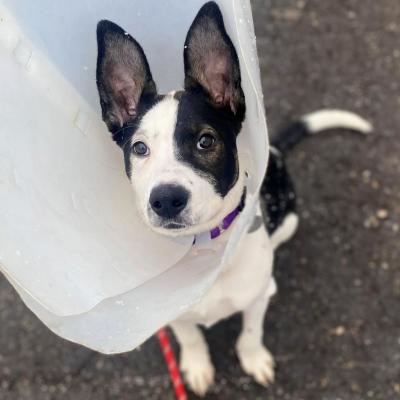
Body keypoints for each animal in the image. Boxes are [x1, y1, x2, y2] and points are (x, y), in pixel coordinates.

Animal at [94, 2, 372, 396]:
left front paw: (254, 359)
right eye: (139, 148)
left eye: (206, 141)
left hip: (289, 219)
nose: (166, 200)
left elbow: (252, 331)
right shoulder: (172, 313)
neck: (208, 248)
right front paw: (197, 365)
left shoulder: (258, 295)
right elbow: (190, 334)